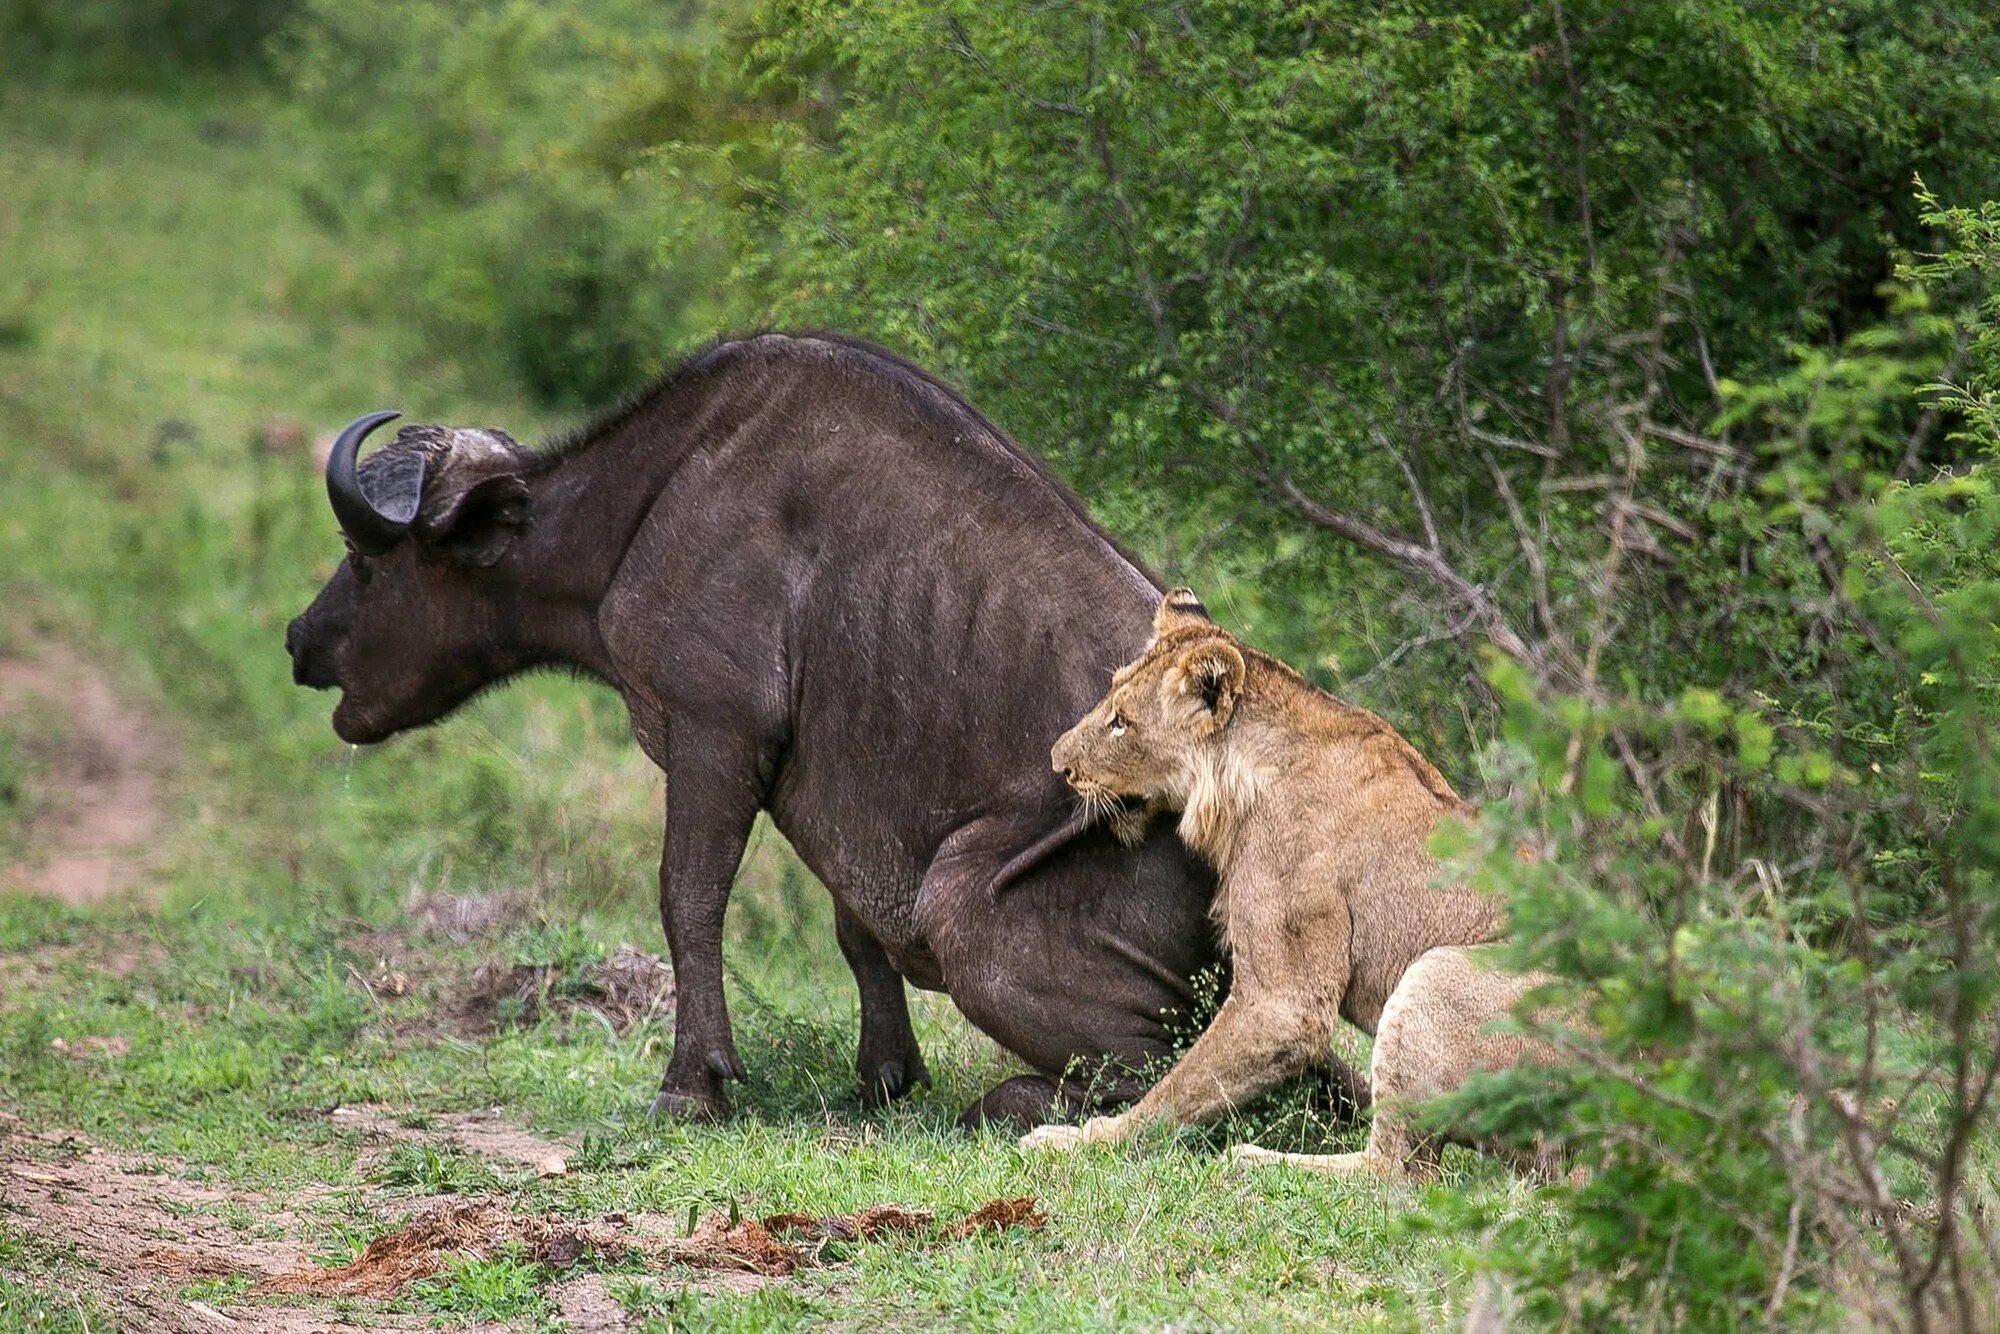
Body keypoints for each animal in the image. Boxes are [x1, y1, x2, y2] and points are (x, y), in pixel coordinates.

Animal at [1032, 588, 1560, 1176]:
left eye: (1121, 722)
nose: (1056, 762)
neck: (1242, 775)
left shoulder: (1283, 1002)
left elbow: (1177, 1091)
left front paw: (1082, 1139)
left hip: (1439, 972)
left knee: (1394, 1172)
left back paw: (1254, 1158)